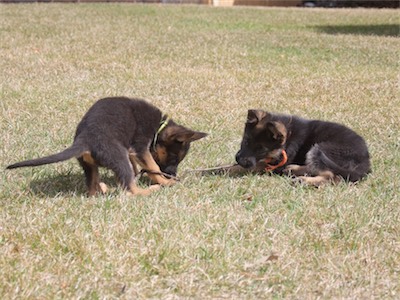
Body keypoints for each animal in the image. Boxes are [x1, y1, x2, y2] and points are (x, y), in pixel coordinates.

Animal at [7, 96, 208, 197]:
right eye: (173, 158)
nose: (173, 175)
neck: (159, 127)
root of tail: (84, 140)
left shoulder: (132, 150)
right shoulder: (140, 147)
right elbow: (152, 166)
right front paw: (165, 181)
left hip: (90, 166)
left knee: (93, 190)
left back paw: (106, 189)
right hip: (119, 157)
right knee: (130, 191)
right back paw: (149, 190)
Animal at [234, 109, 372, 186]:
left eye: (261, 149)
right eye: (246, 141)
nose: (239, 160)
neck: (288, 135)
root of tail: (365, 161)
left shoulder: (270, 164)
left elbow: (241, 168)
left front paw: (228, 170)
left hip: (320, 149)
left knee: (333, 176)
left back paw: (304, 180)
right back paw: (294, 170)